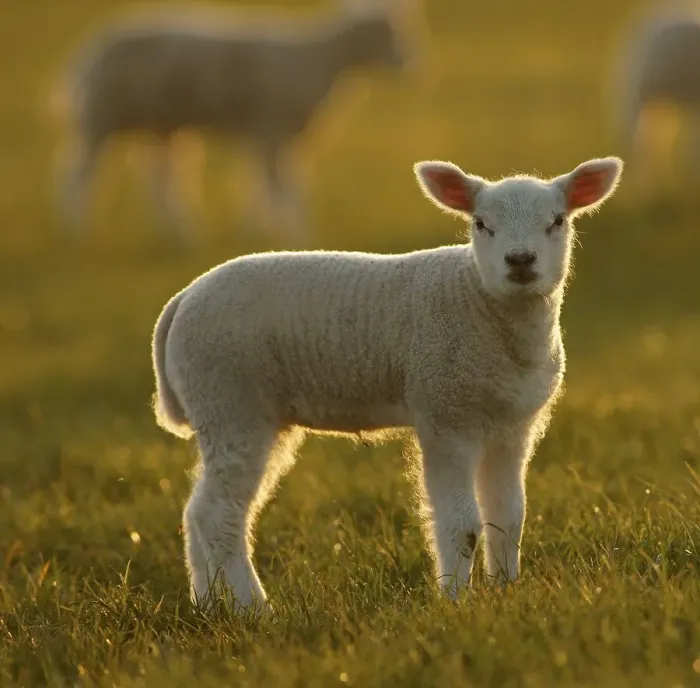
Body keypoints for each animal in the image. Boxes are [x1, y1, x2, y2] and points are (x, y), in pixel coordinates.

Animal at [52, 0, 412, 244]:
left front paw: (255, 231)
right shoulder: (271, 129)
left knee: (158, 181)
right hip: (100, 117)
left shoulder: (274, 136)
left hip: (153, 125)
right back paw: (77, 232)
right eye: (390, 32)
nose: (410, 66)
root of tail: (85, 56)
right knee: (77, 177)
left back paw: (179, 233)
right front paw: (296, 237)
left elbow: (267, 186)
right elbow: (282, 190)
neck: (321, 59)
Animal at [150, 155, 624, 611]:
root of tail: (181, 300)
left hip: (229, 412)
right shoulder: (445, 414)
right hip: (231, 402)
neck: (480, 301)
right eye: (480, 224)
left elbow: (507, 517)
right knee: (218, 515)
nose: (521, 261)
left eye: (557, 220)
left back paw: (208, 602)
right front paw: (455, 601)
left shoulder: (514, 427)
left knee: (195, 512)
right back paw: (254, 608)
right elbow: (462, 525)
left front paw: (506, 591)